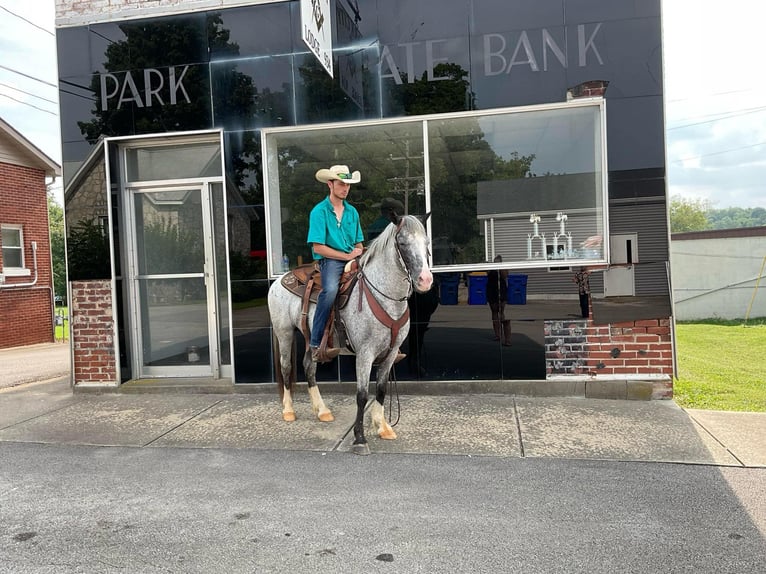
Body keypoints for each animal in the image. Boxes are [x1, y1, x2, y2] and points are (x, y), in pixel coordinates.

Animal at [267, 214, 433, 455]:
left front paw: (383, 427)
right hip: (284, 333)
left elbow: (381, 389)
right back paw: (288, 410)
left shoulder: (391, 353)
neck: (384, 296)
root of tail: (281, 279)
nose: (425, 280)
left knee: (309, 366)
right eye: (402, 243)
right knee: (286, 367)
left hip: (311, 338)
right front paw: (360, 439)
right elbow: (362, 395)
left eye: (426, 243)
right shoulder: (364, 354)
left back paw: (322, 410)